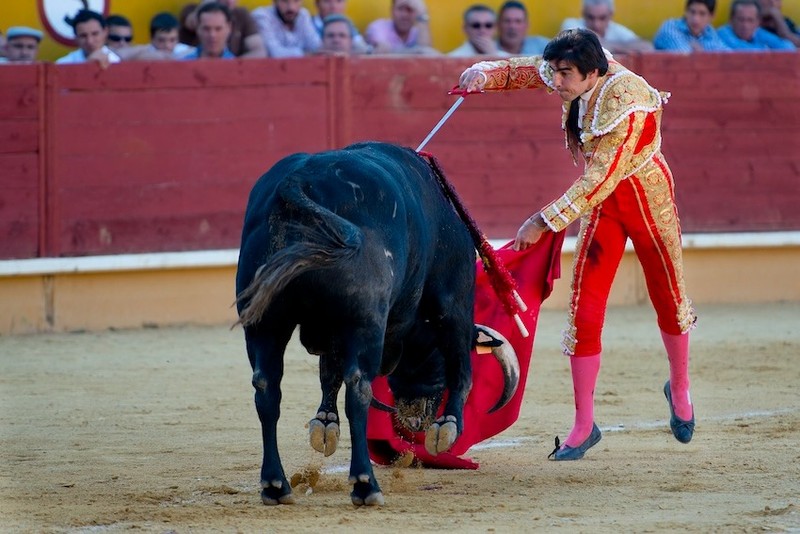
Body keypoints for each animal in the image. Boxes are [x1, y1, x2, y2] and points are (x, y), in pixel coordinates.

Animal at [231, 141, 520, 506]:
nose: (415, 421)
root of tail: (300, 179)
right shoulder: (452, 299)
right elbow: (461, 368)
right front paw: (447, 427)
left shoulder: (331, 330)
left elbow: (328, 371)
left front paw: (325, 423)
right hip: (364, 320)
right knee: (358, 389)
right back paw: (365, 484)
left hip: (265, 323)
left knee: (267, 389)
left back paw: (275, 485)